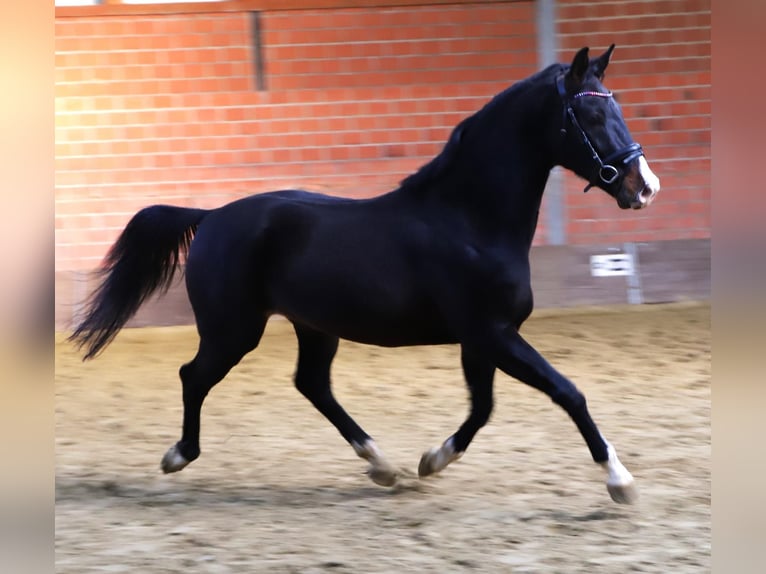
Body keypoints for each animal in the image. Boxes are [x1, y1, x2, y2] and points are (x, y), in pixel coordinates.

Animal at [70, 45, 660, 504]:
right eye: (588, 117)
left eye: (617, 108)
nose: (645, 186)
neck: (469, 219)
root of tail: (211, 216)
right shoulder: (492, 333)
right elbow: (568, 393)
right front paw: (621, 481)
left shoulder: (483, 339)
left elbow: (482, 409)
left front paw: (430, 461)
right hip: (233, 329)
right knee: (194, 376)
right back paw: (178, 456)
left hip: (313, 326)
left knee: (311, 384)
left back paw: (381, 464)